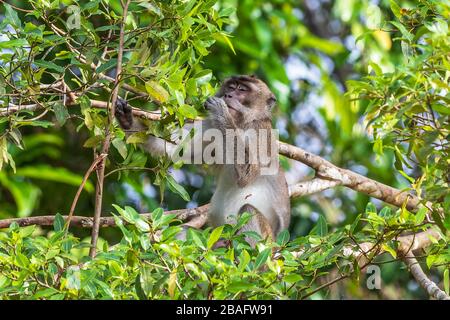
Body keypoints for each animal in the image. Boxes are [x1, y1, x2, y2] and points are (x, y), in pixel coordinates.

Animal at [115, 75, 292, 245]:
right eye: (231, 87)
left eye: (242, 89)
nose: (228, 95)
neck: (241, 124)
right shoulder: (210, 127)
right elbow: (173, 149)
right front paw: (127, 119)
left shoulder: (260, 131)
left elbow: (248, 174)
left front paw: (222, 112)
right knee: (185, 231)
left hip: (266, 244)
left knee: (248, 210)